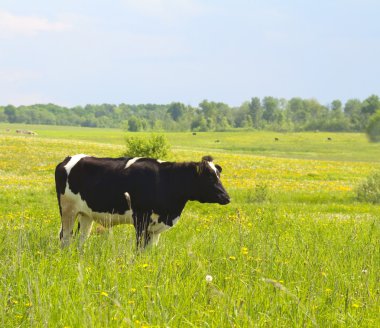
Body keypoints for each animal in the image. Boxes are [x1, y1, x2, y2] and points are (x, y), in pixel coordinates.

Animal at [55, 155, 230, 247]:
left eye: (218, 175)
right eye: (209, 177)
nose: (227, 197)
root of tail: (67, 159)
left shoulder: (155, 227)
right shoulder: (140, 219)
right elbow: (139, 249)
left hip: (86, 214)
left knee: (82, 238)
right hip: (67, 210)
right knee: (65, 236)